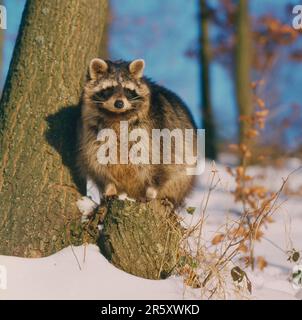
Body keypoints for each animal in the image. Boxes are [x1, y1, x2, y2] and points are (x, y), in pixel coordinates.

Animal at [76, 58, 197, 208]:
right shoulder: (91, 133)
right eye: (109, 89)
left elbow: (160, 163)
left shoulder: (156, 130)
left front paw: (151, 191)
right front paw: (109, 187)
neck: (117, 116)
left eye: (128, 90)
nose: (119, 104)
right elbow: (98, 162)